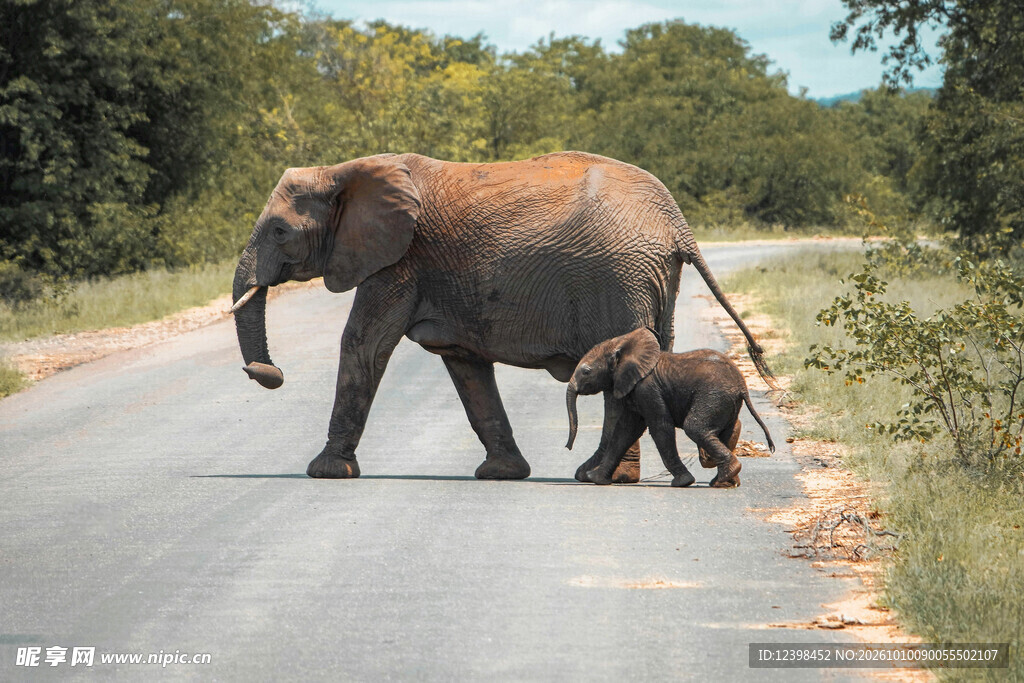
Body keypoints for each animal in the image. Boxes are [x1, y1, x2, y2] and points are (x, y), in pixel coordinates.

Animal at [565, 328, 776, 488]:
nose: (567, 447)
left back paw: (723, 477)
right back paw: (726, 481)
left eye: (586, 371)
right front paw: (596, 479)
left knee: (694, 427)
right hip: (726, 401)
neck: (622, 345)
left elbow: (660, 427)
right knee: (732, 428)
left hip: (714, 395)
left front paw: (683, 482)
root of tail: (742, 385)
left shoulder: (647, 388)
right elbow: (625, 430)